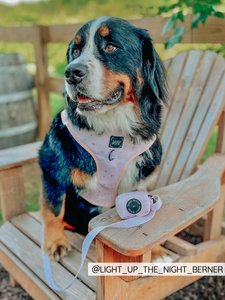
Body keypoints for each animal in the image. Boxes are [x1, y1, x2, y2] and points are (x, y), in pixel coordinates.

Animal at [39, 16, 169, 262]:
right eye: (76, 51)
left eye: (111, 47)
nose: (71, 72)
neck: (112, 130)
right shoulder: (52, 165)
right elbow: (54, 208)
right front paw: (55, 241)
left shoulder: (139, 178)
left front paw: (155, 250)